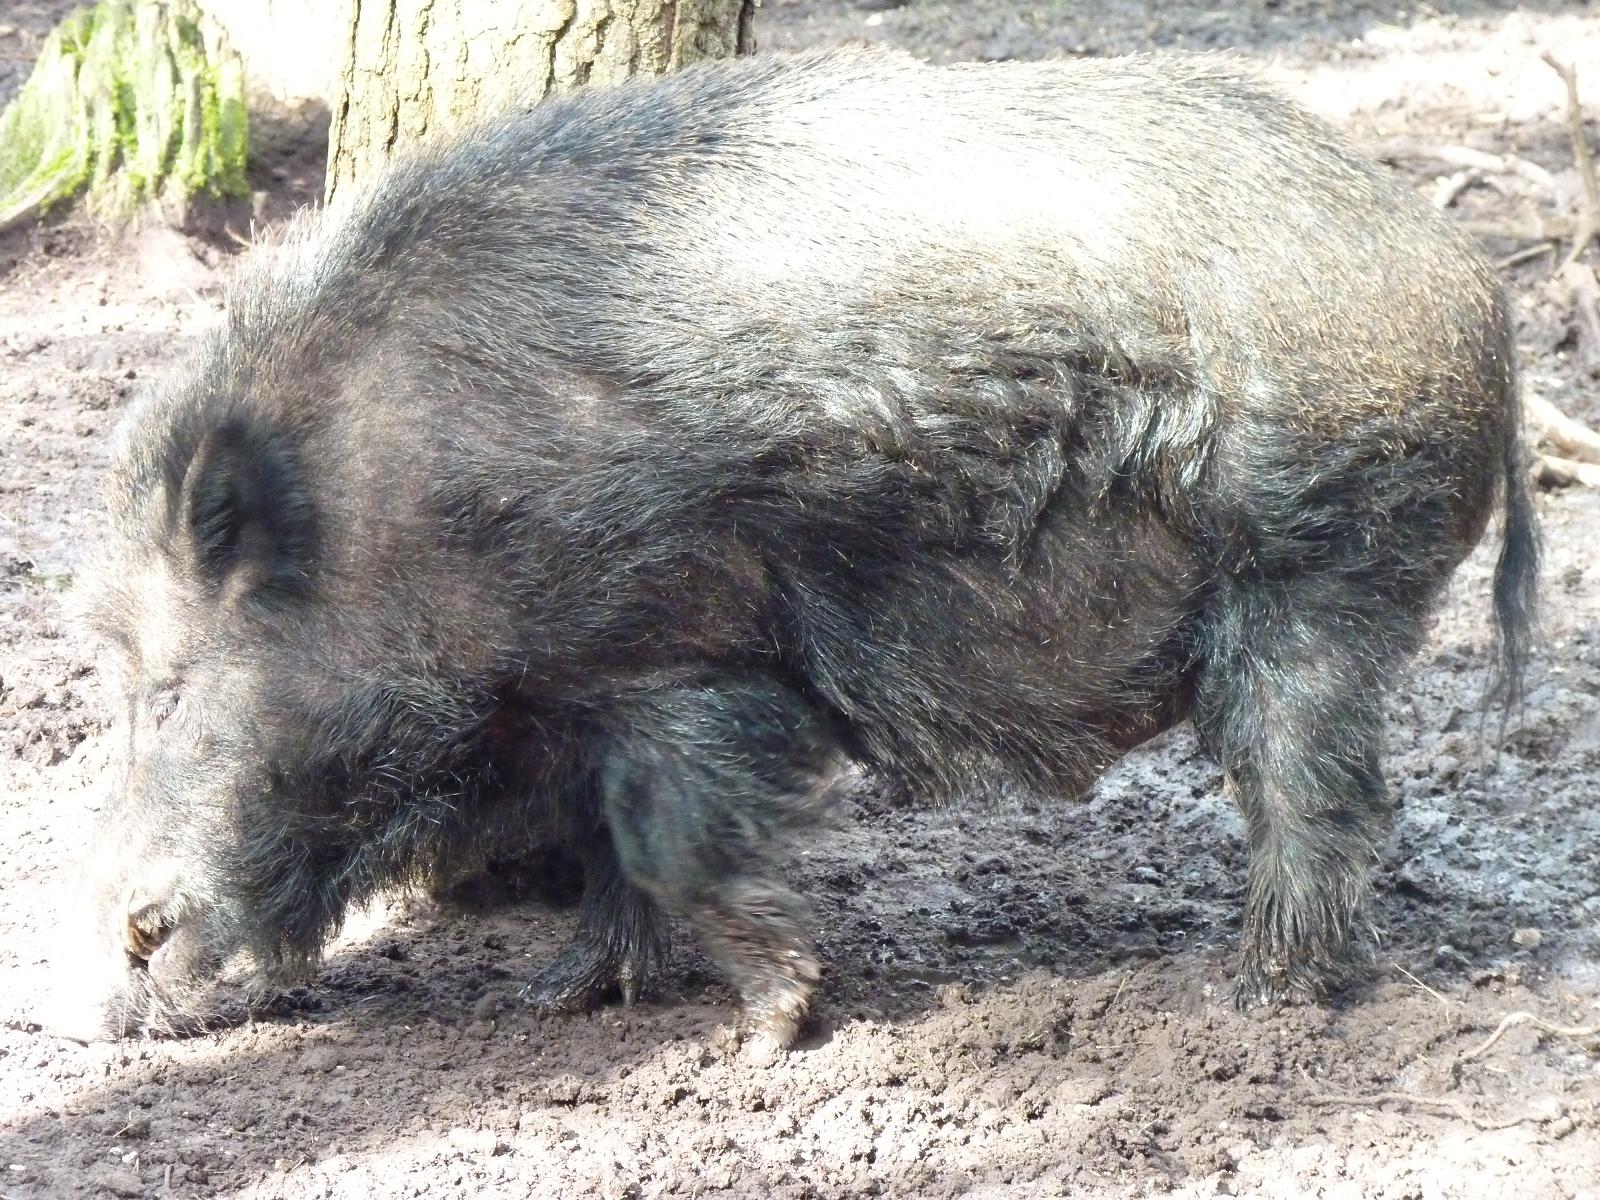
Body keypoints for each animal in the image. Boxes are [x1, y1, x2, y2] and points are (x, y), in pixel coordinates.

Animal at [61, 47, 1537, 1053]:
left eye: (169, 690)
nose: (108, 958)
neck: (401, 500)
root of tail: (1477, 286)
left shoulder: (681, 652)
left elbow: (675, 838)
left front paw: (773, 1025)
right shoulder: (588, 692)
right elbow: (610, 851)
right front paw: (561, 997)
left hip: (1326, 565)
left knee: (1314, 788)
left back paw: (1256, 998)